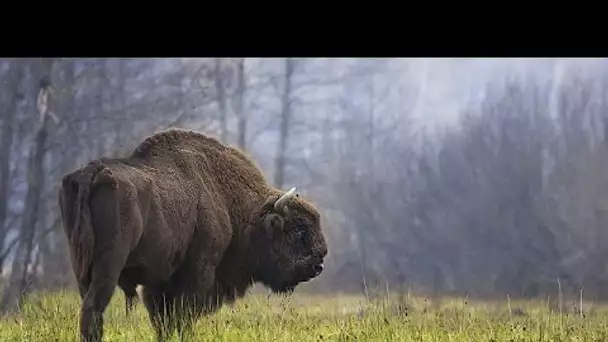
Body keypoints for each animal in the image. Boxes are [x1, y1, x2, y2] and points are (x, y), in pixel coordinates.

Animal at [59, 129, 328, 342]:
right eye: (300, 229)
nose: (319, 263)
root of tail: (92, 172)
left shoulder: (158, 284)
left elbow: (164, 322)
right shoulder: (197, 272)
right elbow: (183, 318)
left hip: (80, 266)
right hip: (109, 264)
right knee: (94, 308)